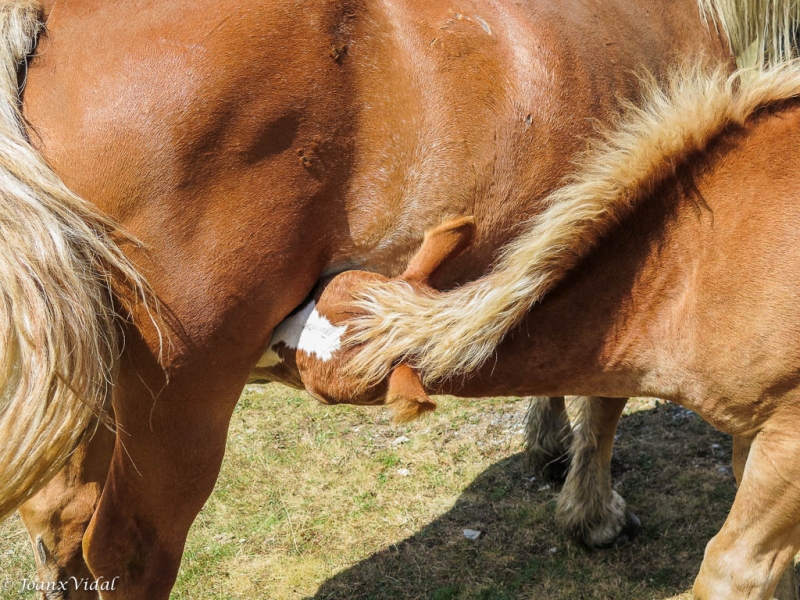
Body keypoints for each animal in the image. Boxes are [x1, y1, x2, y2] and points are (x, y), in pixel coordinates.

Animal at [0, 0, 732, 596]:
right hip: (180, 400)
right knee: (130, 549)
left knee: (60, 528)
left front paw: (551, 451)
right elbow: (606, 397)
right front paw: (593, 514)